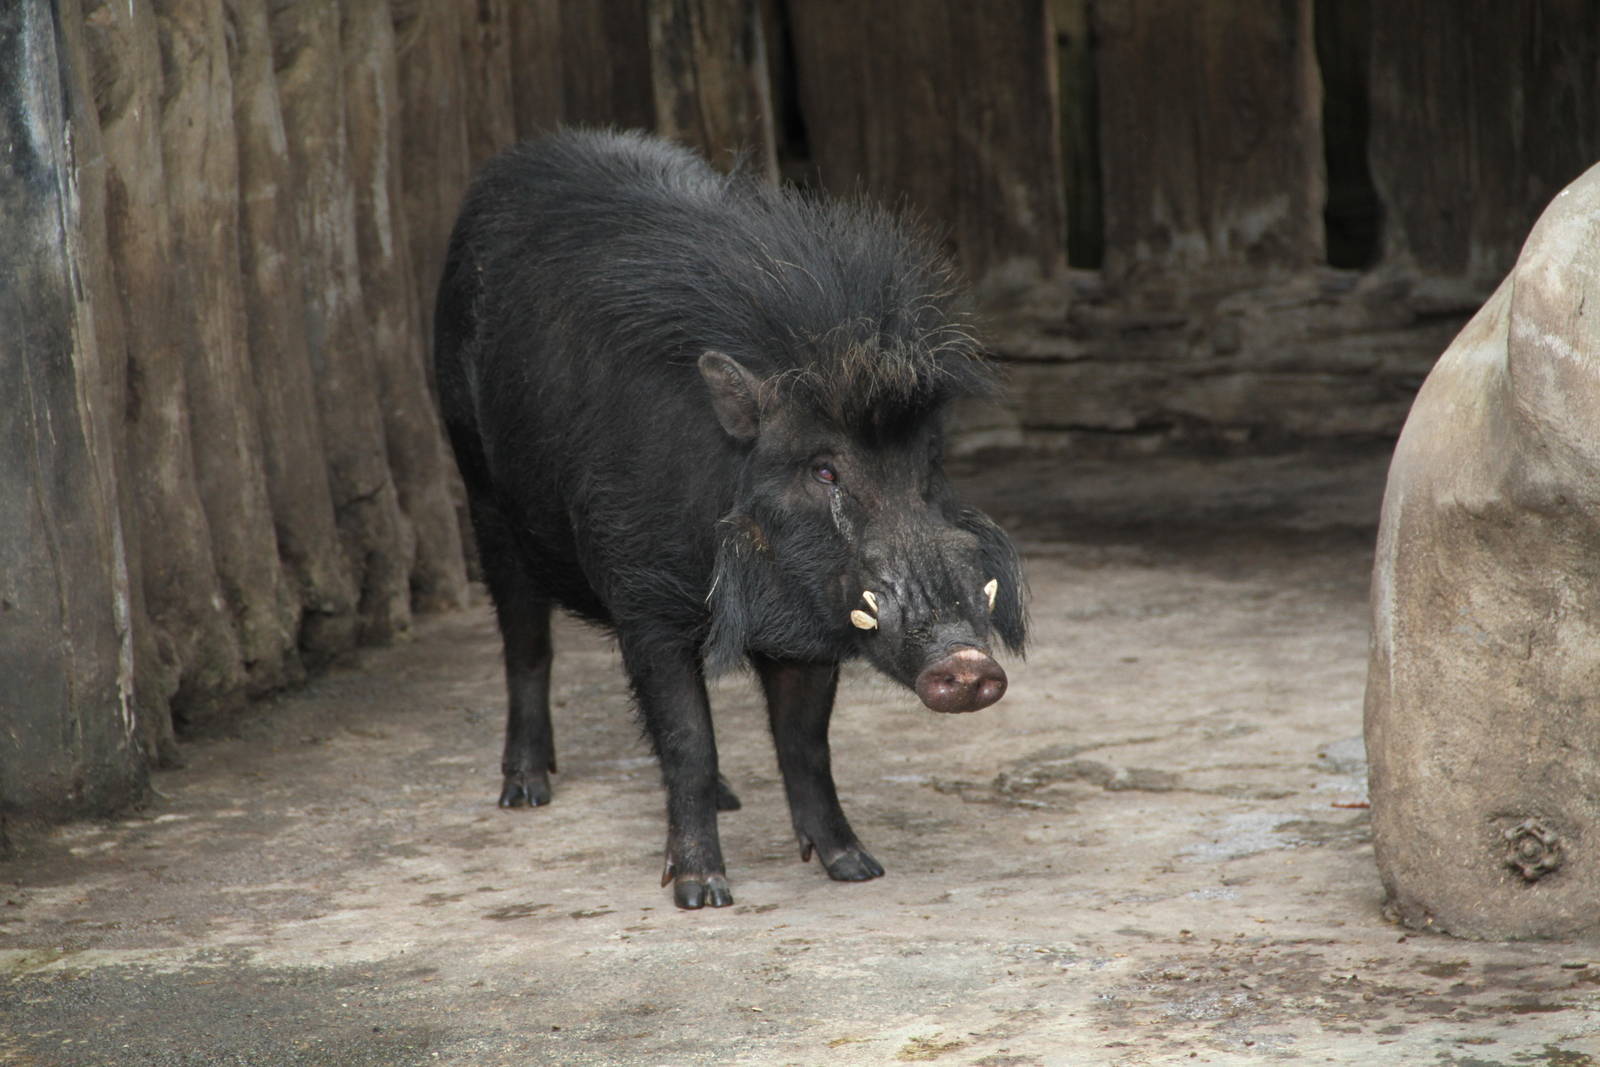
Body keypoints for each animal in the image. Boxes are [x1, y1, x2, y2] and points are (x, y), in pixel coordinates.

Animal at [434, 129, 1026, 909]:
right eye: (824, 470)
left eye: (927, 463)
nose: (967, 663)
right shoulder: (643, 603)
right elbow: (688, 735)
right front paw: (701, 892)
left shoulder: (811, 627)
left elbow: (806, 744)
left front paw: (857, 867)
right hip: (482, 493)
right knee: (525, 643)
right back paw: (525, 792)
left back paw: (729, 798)